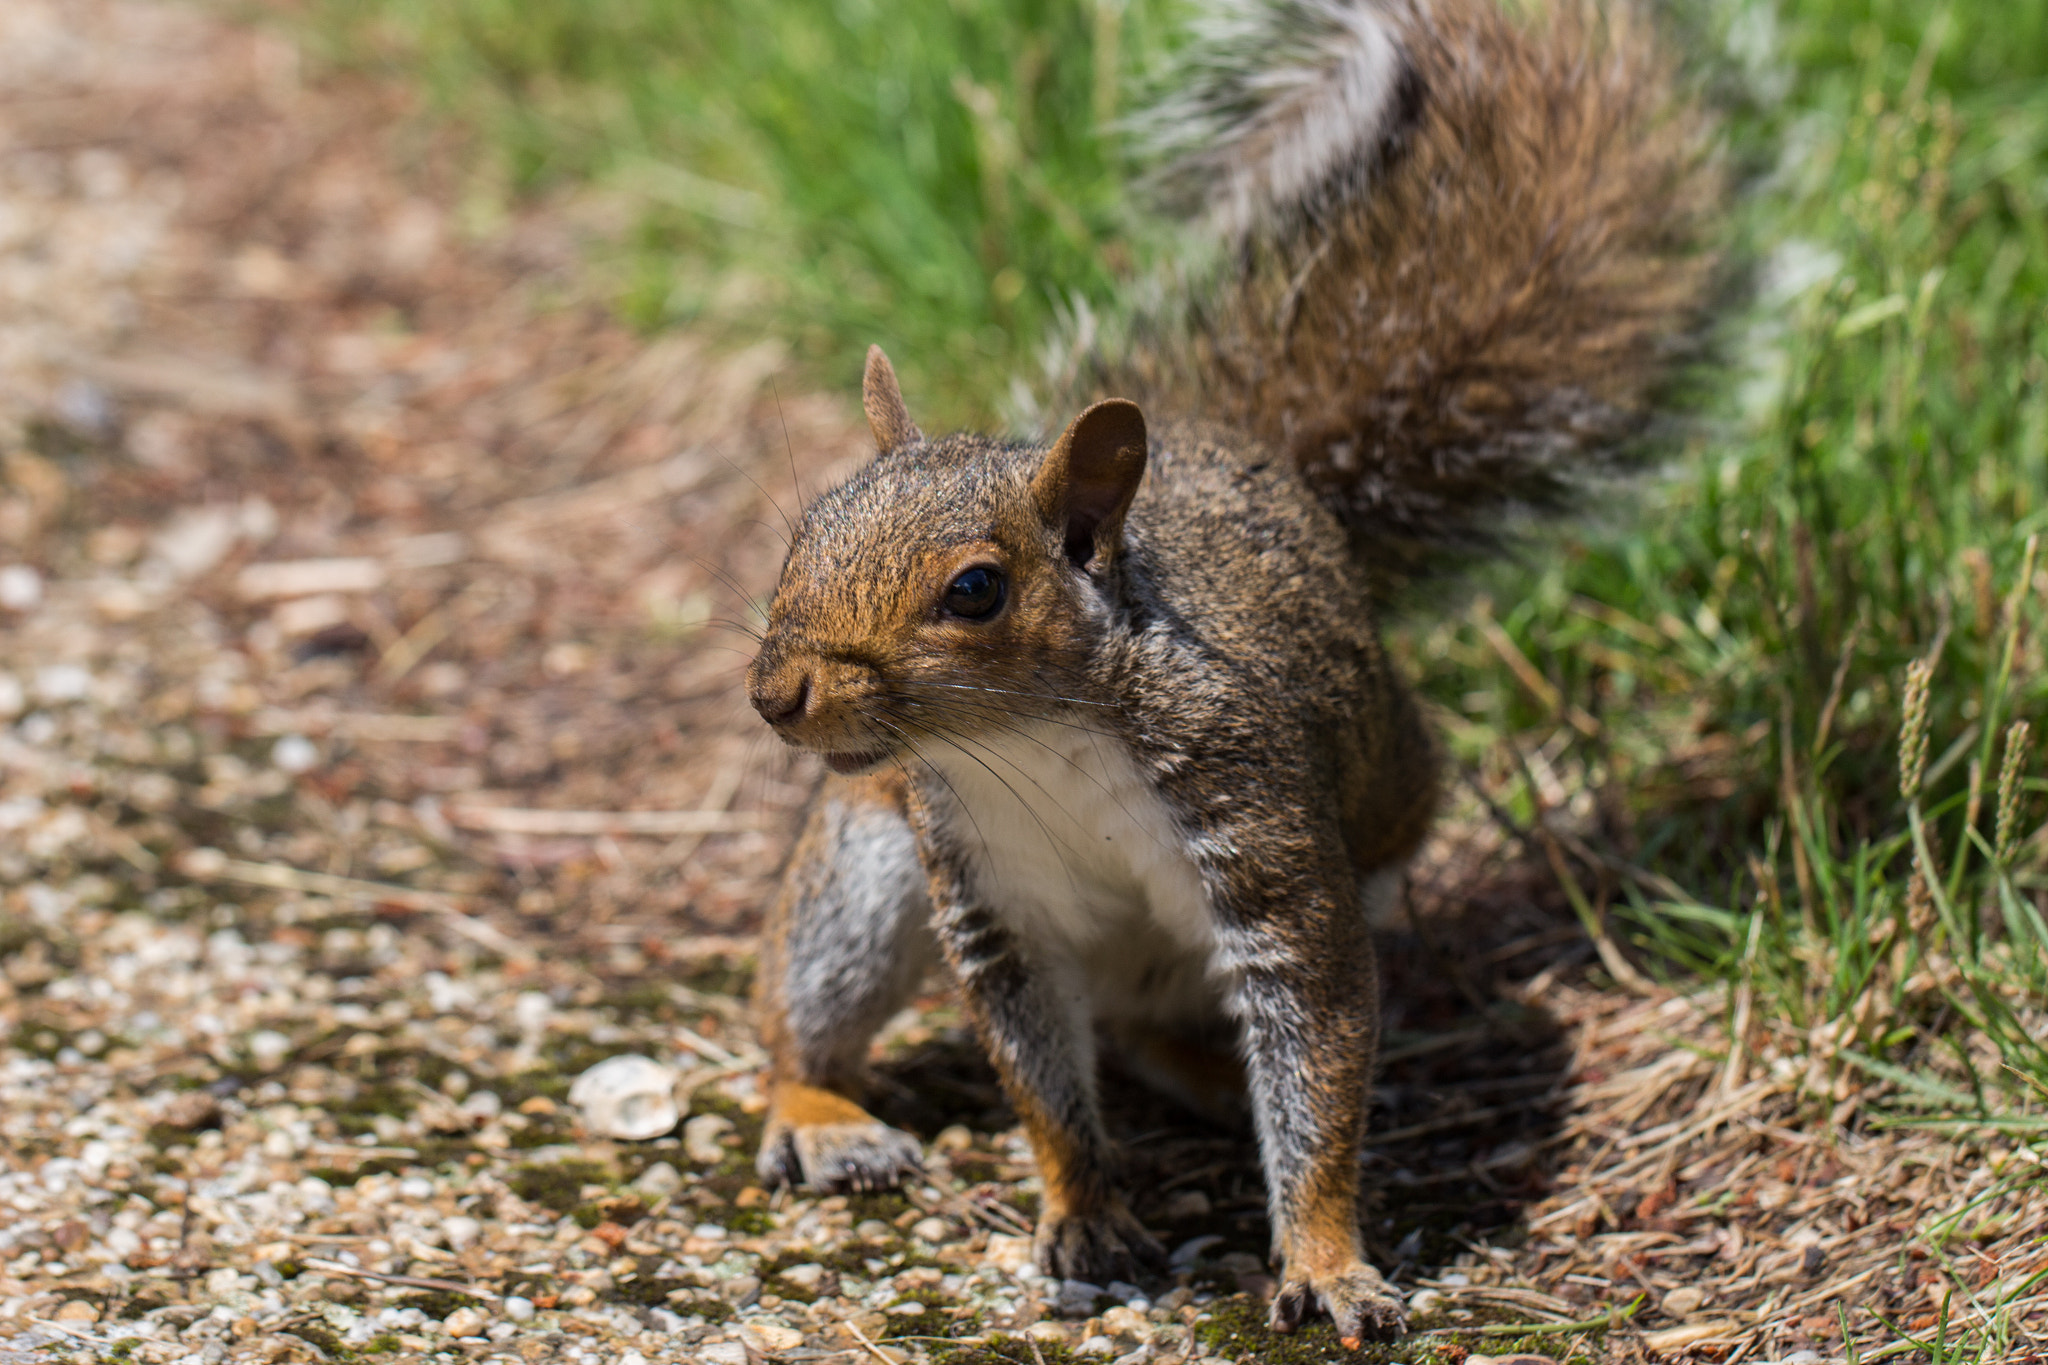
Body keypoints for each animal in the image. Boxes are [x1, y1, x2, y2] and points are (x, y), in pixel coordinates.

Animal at [745, 0, 1720, 1342]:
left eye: (975, 591)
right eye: (805, 530)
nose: (775, 695)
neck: (1026, 747)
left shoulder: (1263, 839)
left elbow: (1313, 1047)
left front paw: (1320, 1257)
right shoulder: (987, 900)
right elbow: (1040, 1081)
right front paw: (1083, 1209)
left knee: (1170, 1039)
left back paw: (1220, 1079)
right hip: (866, 864)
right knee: (806, 1021)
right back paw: (822, 1115)